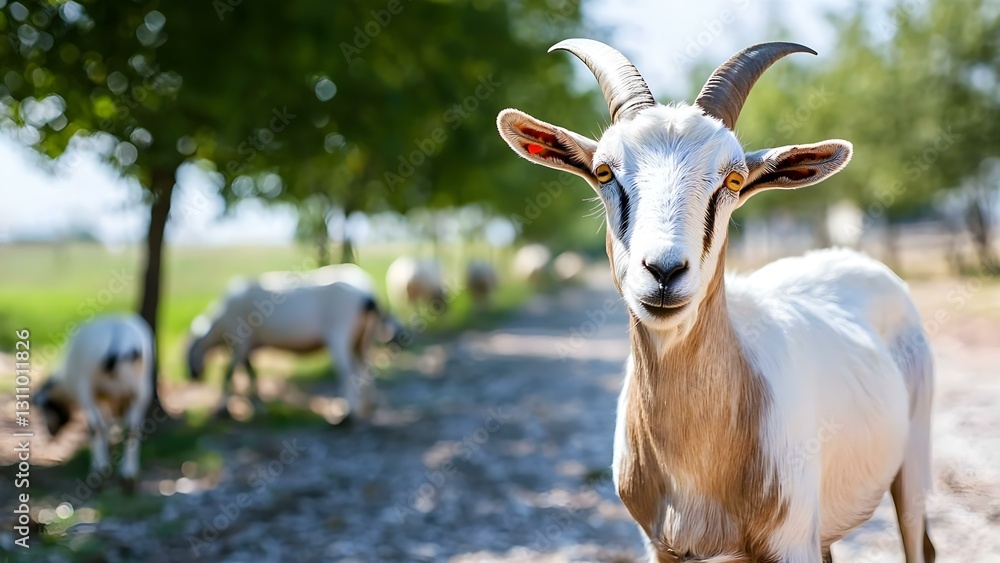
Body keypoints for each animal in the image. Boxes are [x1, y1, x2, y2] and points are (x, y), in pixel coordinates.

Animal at [34, 314, 154, 494]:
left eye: (45, 407)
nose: (50, 433)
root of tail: (118, 339)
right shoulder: (108, 399)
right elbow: (110, 428)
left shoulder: (96, 396)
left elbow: (99, 428)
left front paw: (99, 467)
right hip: (141, 389)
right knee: (132, 429)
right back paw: (128, 477)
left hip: (87, 387)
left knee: (95, 427)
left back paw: (101, 474)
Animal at [186, 264, 399, 420]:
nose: (192, 377)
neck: (217, 328)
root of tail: (367, 296)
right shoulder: (248, 346)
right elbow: (251, 373)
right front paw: (259, 405)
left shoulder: (240, 342)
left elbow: (228, 374)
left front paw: (222, 409)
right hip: (363, 337)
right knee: (365, 367)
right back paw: (367, 407)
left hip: (340, 332)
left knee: (348, 371)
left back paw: (348, 413)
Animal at [497, 39, 935, 563]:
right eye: (604, 171)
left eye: (733, 181)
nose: (664, 272)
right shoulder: (662, 547)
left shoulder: (791, 542)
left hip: (911, 467)